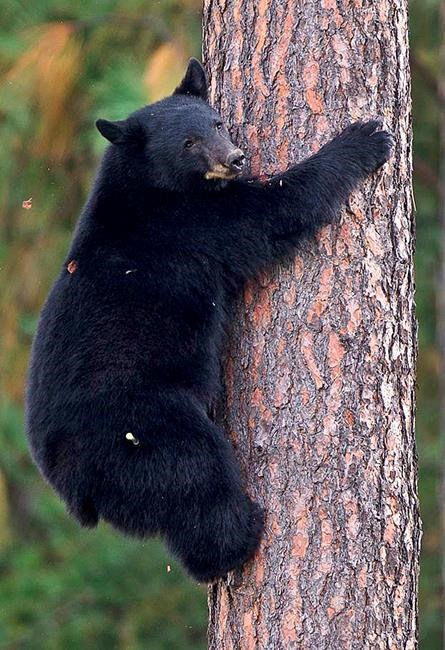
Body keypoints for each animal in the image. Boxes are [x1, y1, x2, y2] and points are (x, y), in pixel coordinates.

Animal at [26, 58, 392, 583]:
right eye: (188, 143)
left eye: (217, 122)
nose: (235, 159)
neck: (145, 186)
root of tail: (71, 486)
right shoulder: (194, 224)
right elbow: (275, 210)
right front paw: (364, 138)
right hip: (140, 423)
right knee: (193, 473)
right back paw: (241, 534)